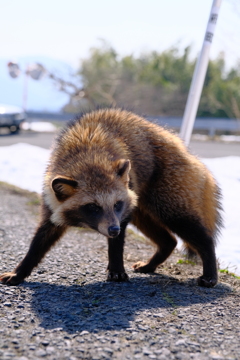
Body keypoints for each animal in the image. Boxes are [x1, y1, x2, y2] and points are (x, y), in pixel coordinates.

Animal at [0, 108, 222, 286]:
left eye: (116, 204)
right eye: (93, 206)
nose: (114, 230)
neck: (89, 157)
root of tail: (190, 155)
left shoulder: (121, 212)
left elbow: (116, 244)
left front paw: (116, 267)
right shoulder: (52, 201)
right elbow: (40, 239)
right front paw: (21, 270)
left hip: (168, 199)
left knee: (196, 232)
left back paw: (210, 269)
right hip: (141, 209)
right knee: (168, 240)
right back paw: (153, 261)